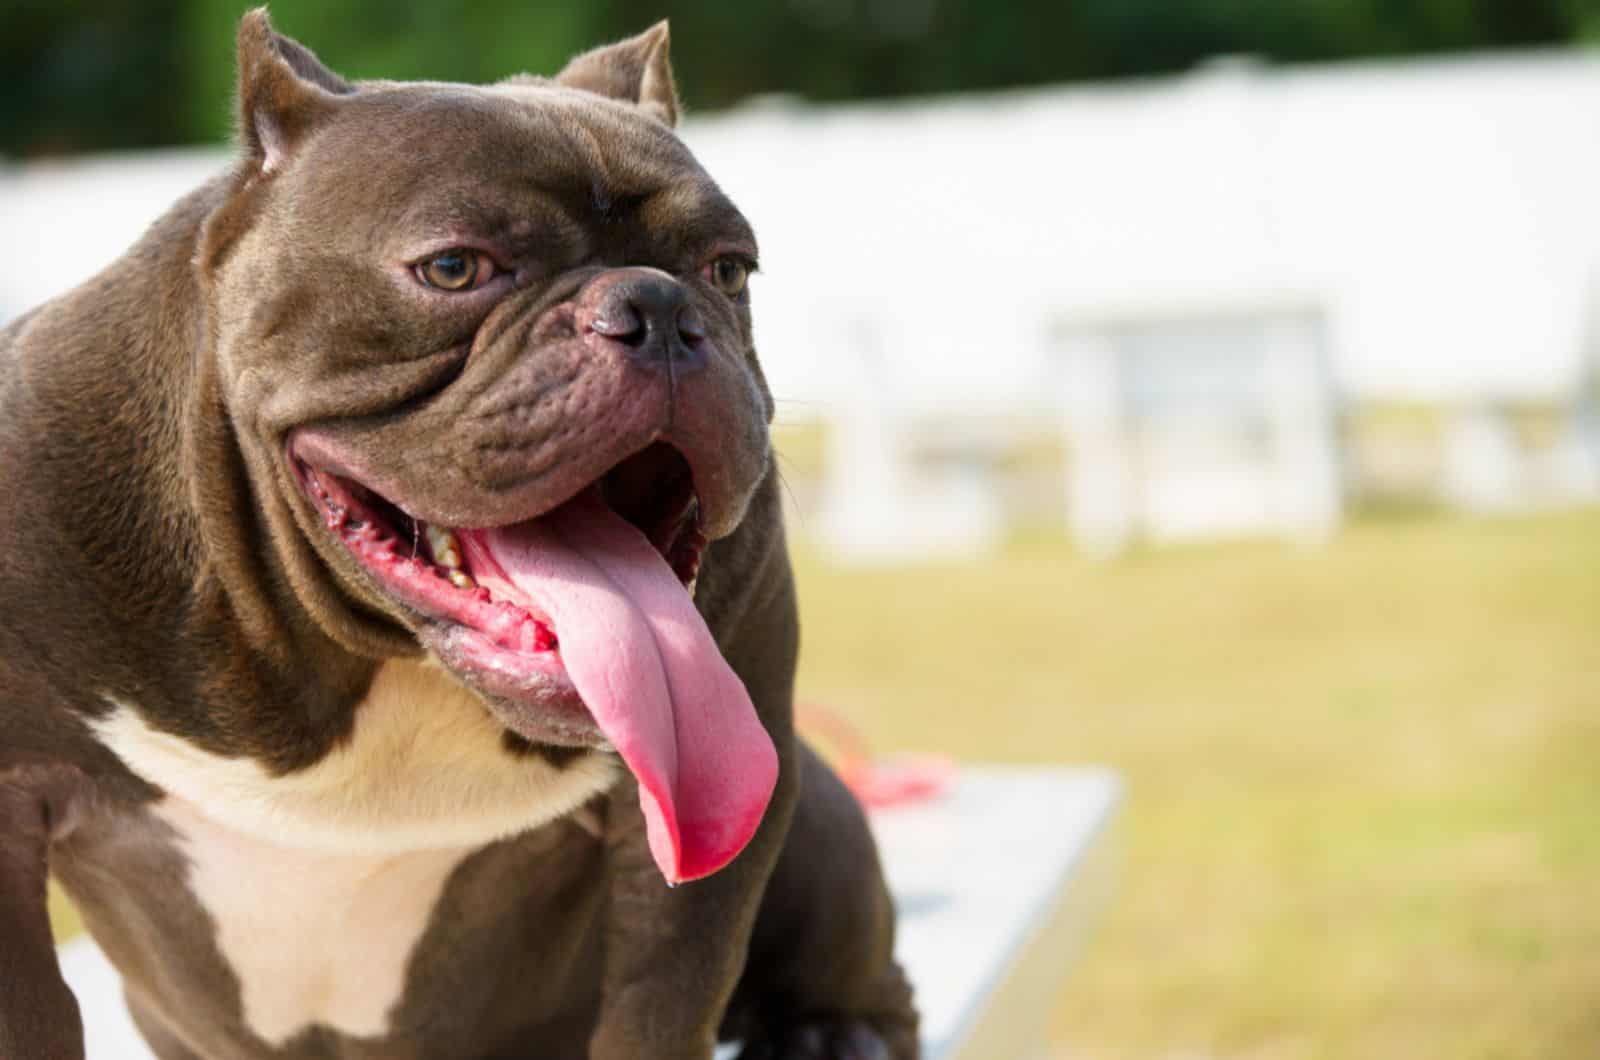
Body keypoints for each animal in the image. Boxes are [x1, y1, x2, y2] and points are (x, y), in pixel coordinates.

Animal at [0, 10, 921, 1060]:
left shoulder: (709, 813)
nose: (659, 307)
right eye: (453, 268)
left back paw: (835, 1031)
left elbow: (658, 1005)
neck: (372, 661)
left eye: (729, 270)